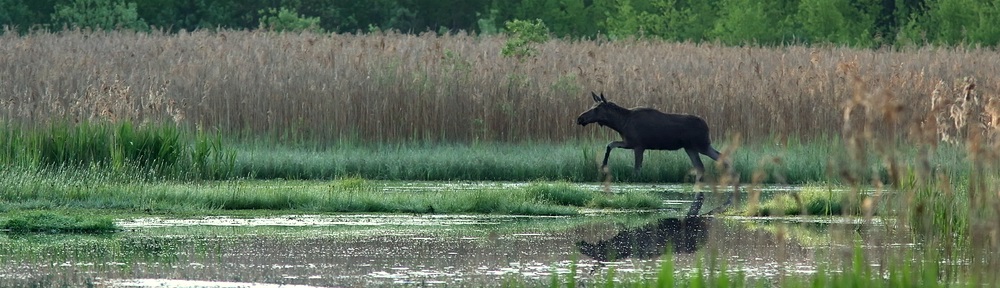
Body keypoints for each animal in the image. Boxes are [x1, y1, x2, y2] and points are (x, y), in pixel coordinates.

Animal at [576, 92, 732, 216]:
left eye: (597, 108)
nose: (580, 118)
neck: (620, 124)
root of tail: (707, 127)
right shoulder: (628, 143)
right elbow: (609, 144)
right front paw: (603, 166)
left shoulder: (638, 145)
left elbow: (637, 169)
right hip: (691, 148)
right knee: (703, 166)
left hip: (701, 145)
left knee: (720, 160)